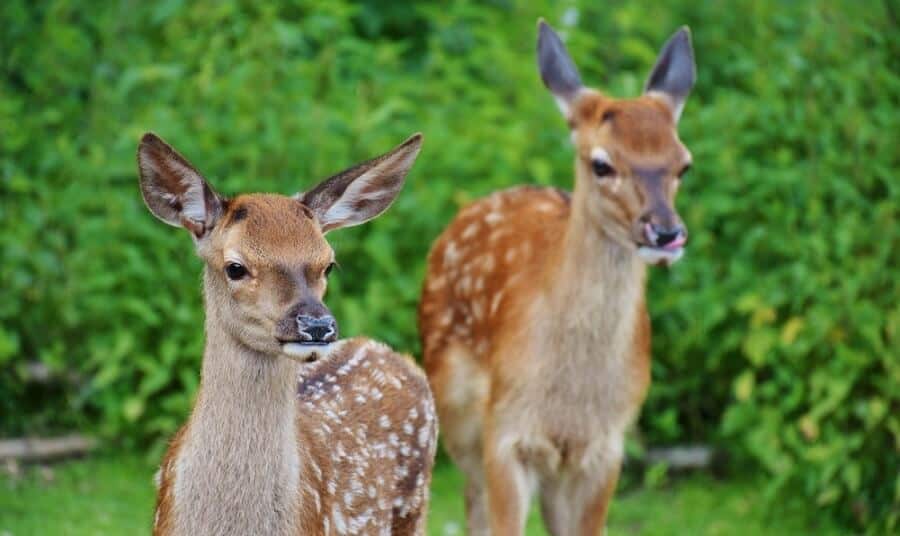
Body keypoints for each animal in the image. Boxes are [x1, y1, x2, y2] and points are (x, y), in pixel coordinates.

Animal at [418, 18, 700, 532]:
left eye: (683, 163)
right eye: (602, 163)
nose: (666, 232)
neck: (571, 398)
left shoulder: (605, 446)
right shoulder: (506, 431)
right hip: (456, 409)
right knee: (472, 500)